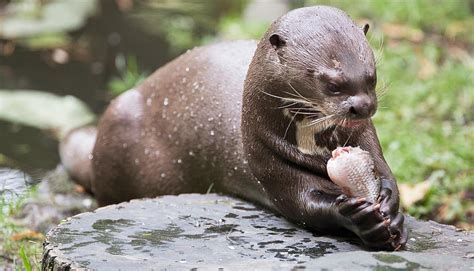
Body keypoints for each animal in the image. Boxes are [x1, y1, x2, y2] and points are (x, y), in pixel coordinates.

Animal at [59, 5, 408, 251]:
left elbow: (385, 173)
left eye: (372, 76)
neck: (317, 147)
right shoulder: (266, 160)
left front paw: (390, 207)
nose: (363, 106)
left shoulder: (368, 140)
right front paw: (358, 217)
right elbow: (303, 204)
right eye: (331, 83)